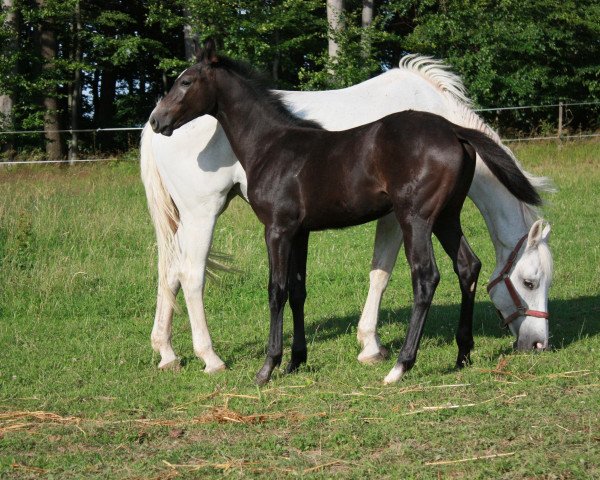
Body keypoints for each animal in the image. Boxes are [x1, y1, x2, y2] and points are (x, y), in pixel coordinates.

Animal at [149, 40, 540, 386]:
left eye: (186, 82)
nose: (156, 120)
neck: (273, 144)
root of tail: (454, 130)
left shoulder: (277, 229)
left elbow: (276, 289)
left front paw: (268, 367)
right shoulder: (299, 231)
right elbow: (297, 289)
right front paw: (295, 361)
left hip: (416, 219)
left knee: (426, 276)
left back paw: (400, 366)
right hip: (445, 217)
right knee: (467, 266)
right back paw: (461, 356)